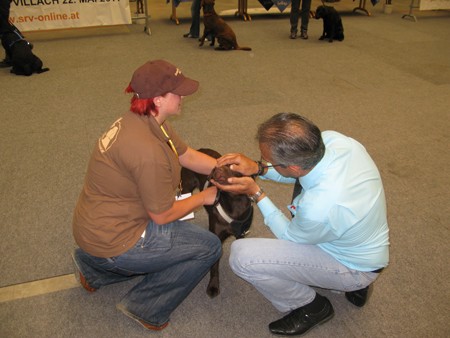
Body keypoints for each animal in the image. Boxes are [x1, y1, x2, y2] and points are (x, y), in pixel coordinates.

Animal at [182, 149, 253, 298]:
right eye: (216, 166)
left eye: (233, 166)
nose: (217, 169)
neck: (234, 202)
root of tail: (199, 149)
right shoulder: (217, 240)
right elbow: (214, 267)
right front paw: (213, 286)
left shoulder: (241, 234)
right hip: (185, 187)